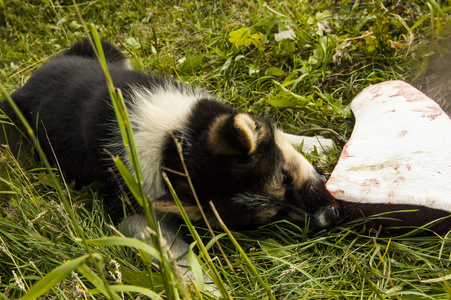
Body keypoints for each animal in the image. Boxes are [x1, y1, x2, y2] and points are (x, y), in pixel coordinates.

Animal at [9, 39, 340, 268]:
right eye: (269, 217)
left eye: (285, 178)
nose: (332, 215)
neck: (173, 142)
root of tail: (28, 80)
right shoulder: (134, 212)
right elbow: (178, 257)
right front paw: (205, 288)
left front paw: (316, 142)